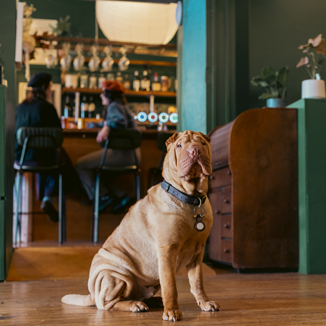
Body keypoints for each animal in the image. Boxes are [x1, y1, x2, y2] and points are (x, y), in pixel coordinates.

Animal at [61, 130, 219, 320]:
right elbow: (170, 286)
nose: (195, 150)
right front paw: (172, 311)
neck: (190, 198)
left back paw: (154, 301)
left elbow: (197, 283)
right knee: (108, 304)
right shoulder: (166, 252)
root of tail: (93, 293)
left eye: (202, 143)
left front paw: (205, 302)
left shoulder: (197, 254)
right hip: (115, 275)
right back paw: (134, 305)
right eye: (180, 145)